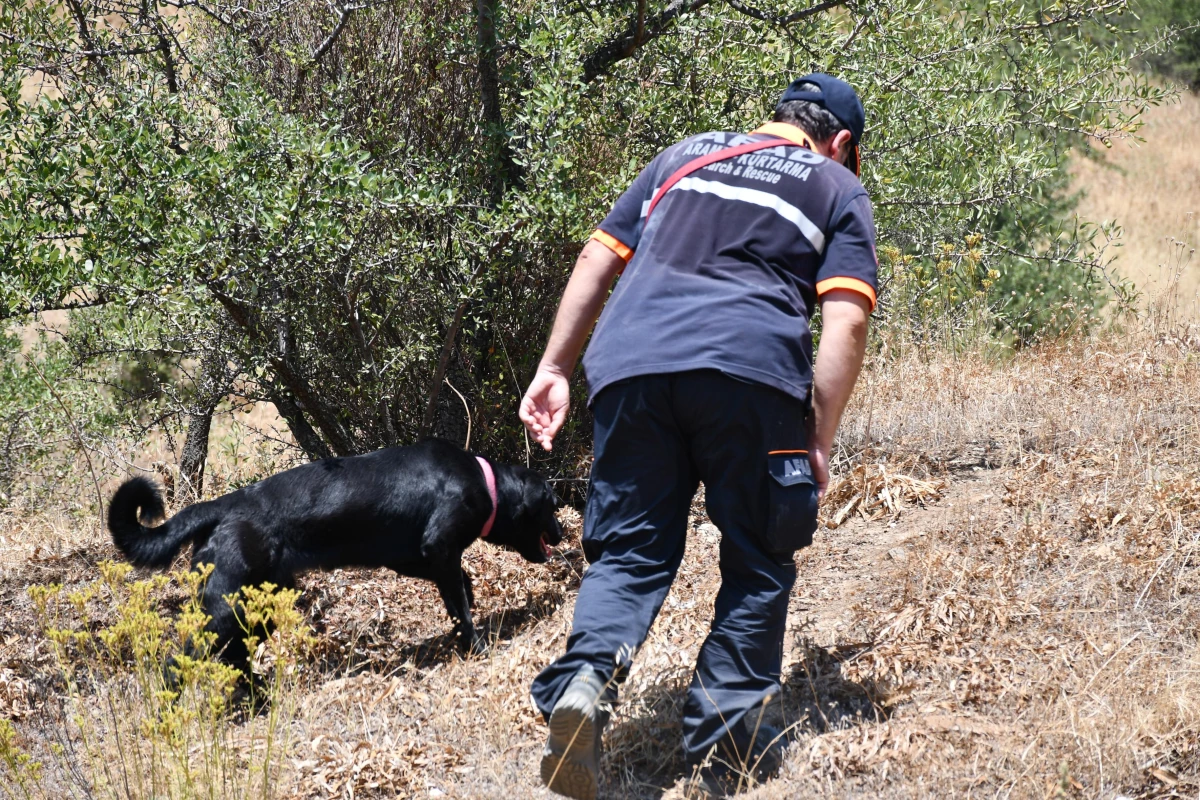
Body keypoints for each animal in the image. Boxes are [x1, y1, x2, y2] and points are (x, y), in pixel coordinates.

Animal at [106, 438, 561, 671]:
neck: (484, 483)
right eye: (552, 505)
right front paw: (476, 643)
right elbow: (461, 605)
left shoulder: (415, 558)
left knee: (234, 659)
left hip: (259, 608)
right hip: (225, 611)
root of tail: (221, 506)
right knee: (179, 660)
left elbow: (459, 588)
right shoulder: (438, 547)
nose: (562, 534)